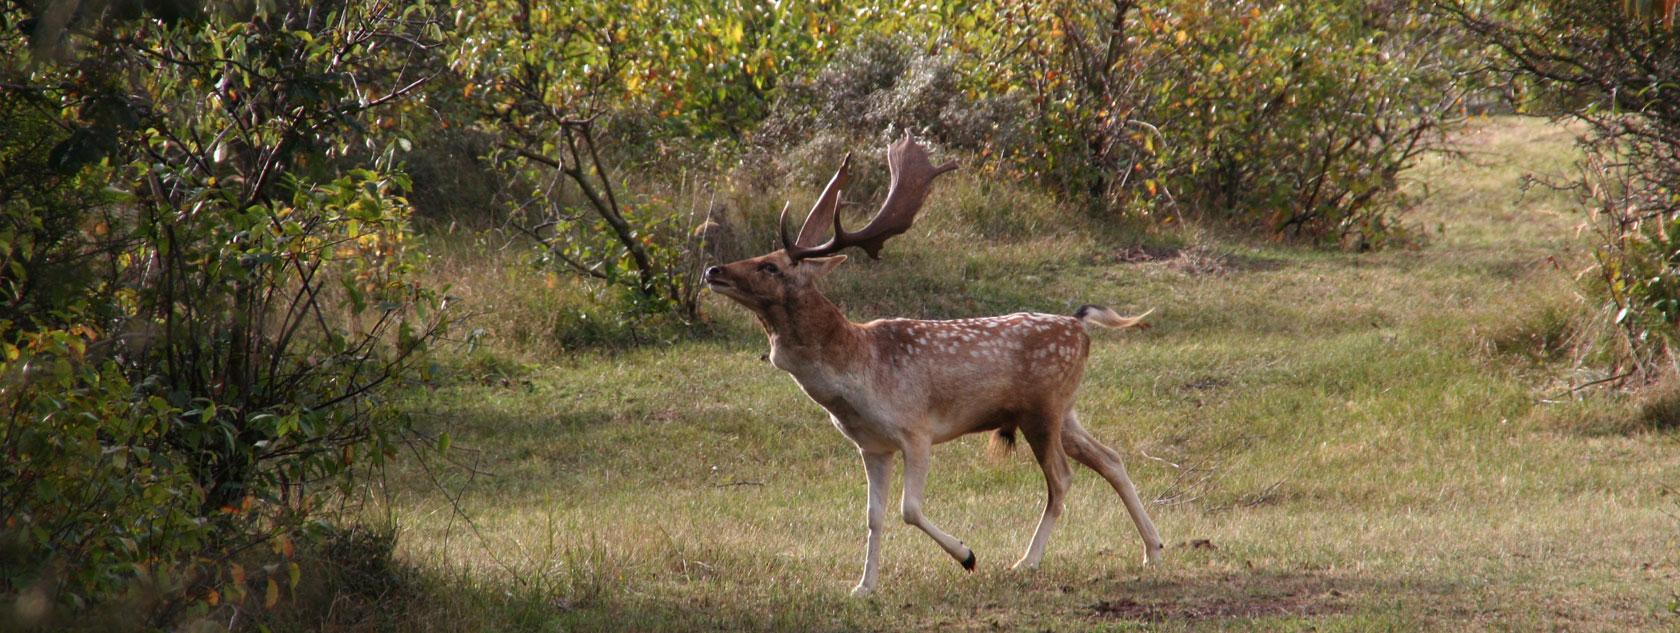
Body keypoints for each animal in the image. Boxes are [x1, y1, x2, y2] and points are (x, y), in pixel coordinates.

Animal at [702, 136, 1162, 594]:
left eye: (770, 266)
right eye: (761, 255)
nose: (713, 269)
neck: (855, 374)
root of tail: (1080, 325)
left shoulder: (916, 430)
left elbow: (910, 509)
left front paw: (968, 555)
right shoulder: (872, 445)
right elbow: (874, 517)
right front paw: (864, 587)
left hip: (1043, 408)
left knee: (1062, 478)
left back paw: (1027, 561)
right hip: (1062, 410)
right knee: (1110, 458)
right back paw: (1153, 549)